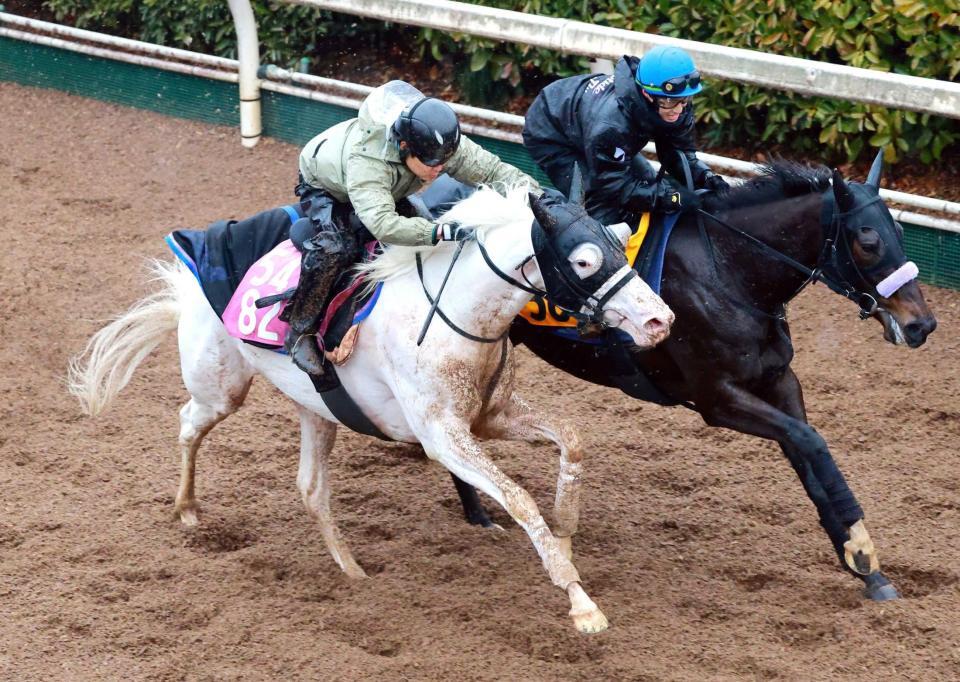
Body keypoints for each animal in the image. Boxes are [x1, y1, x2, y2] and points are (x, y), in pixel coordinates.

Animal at [67, 184, 674, 633]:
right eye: (584, 260)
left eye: (620, 242)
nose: (659, 320)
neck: (456, 314)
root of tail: (191, 269)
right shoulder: (443, 436)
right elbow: (521, 500)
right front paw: (580, 601)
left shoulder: (489, 417)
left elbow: (572, 437)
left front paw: (566, 530)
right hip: (221, 388)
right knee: (188, 425)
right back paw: (188, 508)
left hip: (317, 412)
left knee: (311, 487)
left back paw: (354, 572)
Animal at [446, 153, 937, 601]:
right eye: (867, 241)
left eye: (900, 232)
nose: (922, 325)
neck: (729, 271)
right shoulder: (718, 400)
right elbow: (811, 443)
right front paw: (862, 547)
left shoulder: (779, 381)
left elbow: (809, 455)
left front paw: (864, 566)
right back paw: (477, 512)